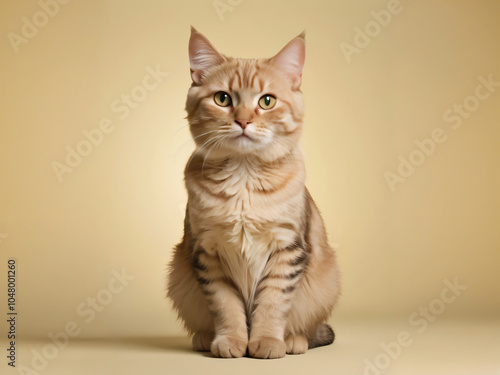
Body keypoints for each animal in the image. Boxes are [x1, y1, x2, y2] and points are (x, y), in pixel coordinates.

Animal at [167, 27, 340, 360]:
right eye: (222, 98)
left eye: (267, 101)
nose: (244, 120)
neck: (244, 178)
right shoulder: (207, 251)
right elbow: (226, 306)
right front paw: (231, 341)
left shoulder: (287, 250)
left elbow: (272, 305)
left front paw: (268, 342)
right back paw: (204, 338)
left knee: (307, 327)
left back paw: (293, 340)